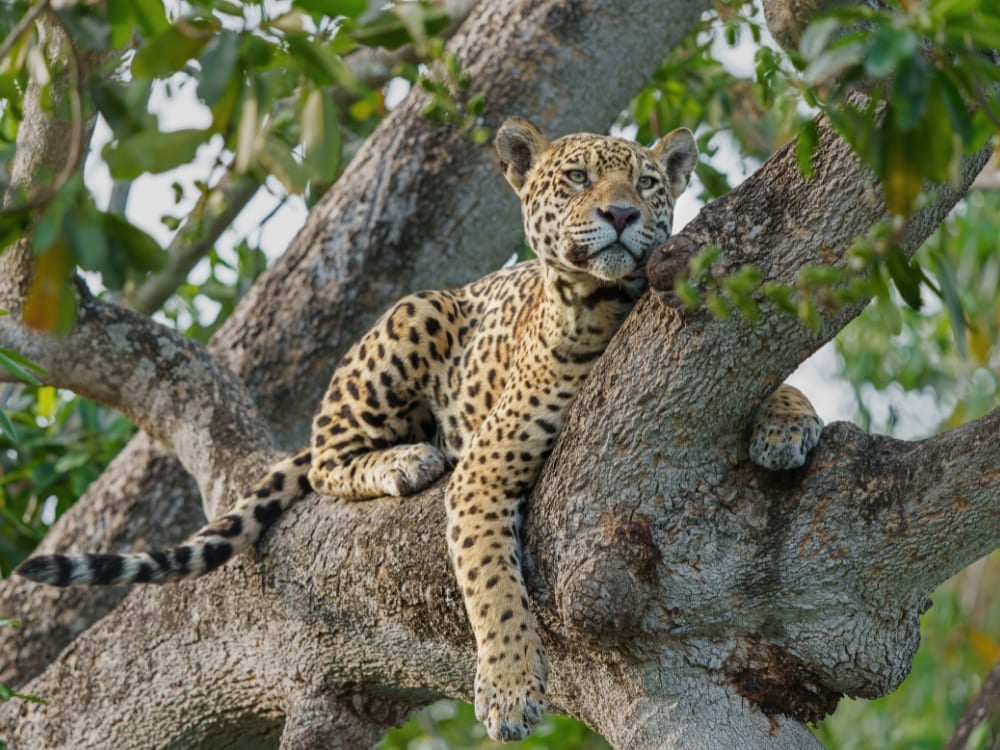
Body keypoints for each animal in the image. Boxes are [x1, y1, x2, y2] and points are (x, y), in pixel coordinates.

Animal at [16, 116, 821, 742]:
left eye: (649, 184)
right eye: (577, 178)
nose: (622, 214)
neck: (611, 307)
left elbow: (781, 379)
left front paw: (787, 426)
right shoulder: (485, 472)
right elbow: (493, 586)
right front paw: (509, 690)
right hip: (413, 315)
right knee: (329, 455)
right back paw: (404, 459)